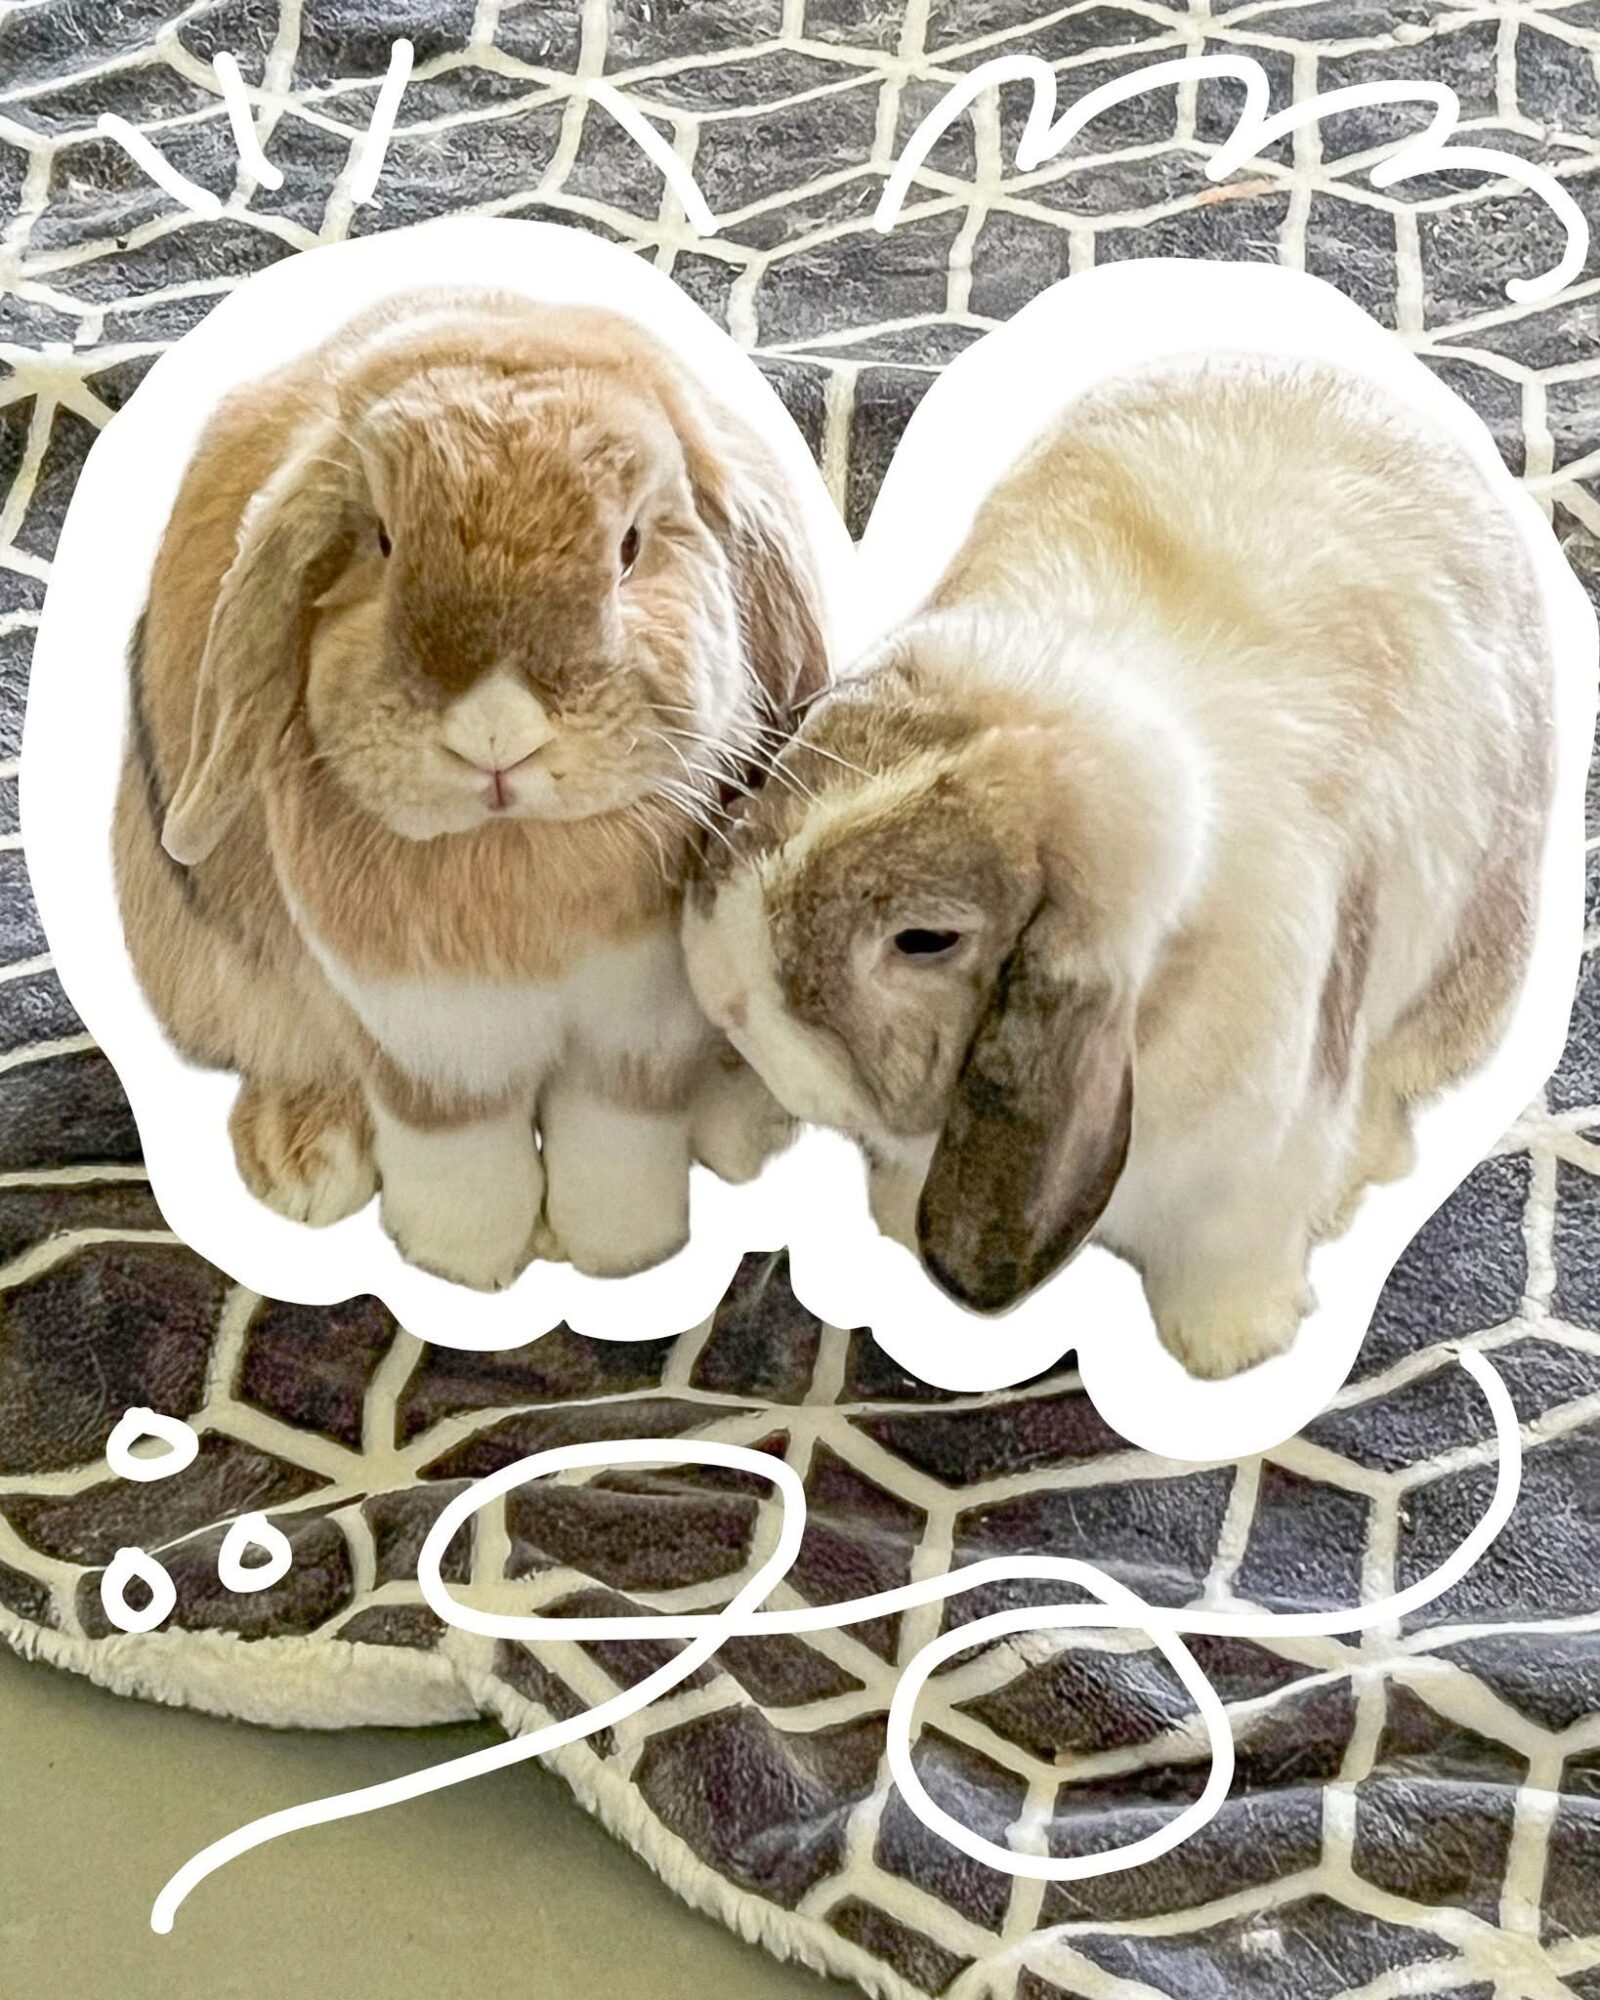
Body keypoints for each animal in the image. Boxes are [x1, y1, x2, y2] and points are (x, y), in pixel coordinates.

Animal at [115, 286, 826, 1289]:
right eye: (380, 541)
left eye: (630, 547)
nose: (497, 733)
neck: (520, 861)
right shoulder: (428, 1036)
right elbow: (458, 1148)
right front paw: (468, 1267)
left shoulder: (642, 1030)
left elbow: (615, 1138)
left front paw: (619, 1255)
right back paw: (305, 1160)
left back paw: (741, 1128)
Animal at [683, 353, 1554, 1378]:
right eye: (802, 753)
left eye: (925, 939)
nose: (721, 986)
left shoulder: (1256, 1168)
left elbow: (1233, 1259)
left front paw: (1226, 1350)